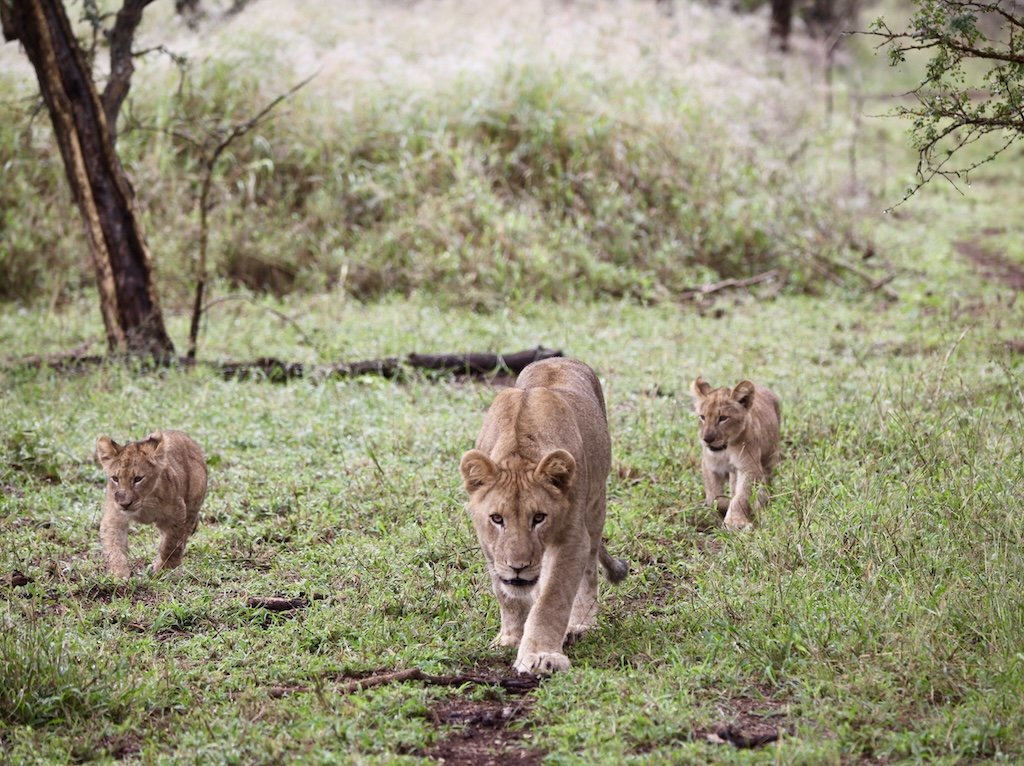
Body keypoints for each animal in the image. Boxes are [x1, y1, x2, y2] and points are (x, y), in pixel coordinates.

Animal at [95, 430, 208, 578]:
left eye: (138, 479)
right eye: (115, 478)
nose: (125, 504)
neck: (144, 505)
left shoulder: (177, 514)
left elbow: (170, 545)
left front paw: (165, 569)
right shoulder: (114, 517)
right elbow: (114, 547)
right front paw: (119, 574)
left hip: (192, 503)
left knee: (184, 534)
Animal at [460, 357, 628, 675]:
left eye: (539, 518)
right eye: (497, 519)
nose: (518, 567)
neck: (518, 454)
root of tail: (558, 359)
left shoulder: (572, 539)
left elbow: (552, 598)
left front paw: (540, 655)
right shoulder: (489, 547)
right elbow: (506, 595)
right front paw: (511, 638)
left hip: (596, 504)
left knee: (589, 570)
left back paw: (581, 624)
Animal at [690, 377, 781, 530]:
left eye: (723, 418)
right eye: (702, 417)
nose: (707, 439)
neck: (725, 450)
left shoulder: (749, 468)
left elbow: (741, 497)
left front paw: (735, 522)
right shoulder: (710, 466)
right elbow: (715, 497)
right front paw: (724, 508)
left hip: (769, 459)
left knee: (765, 486)